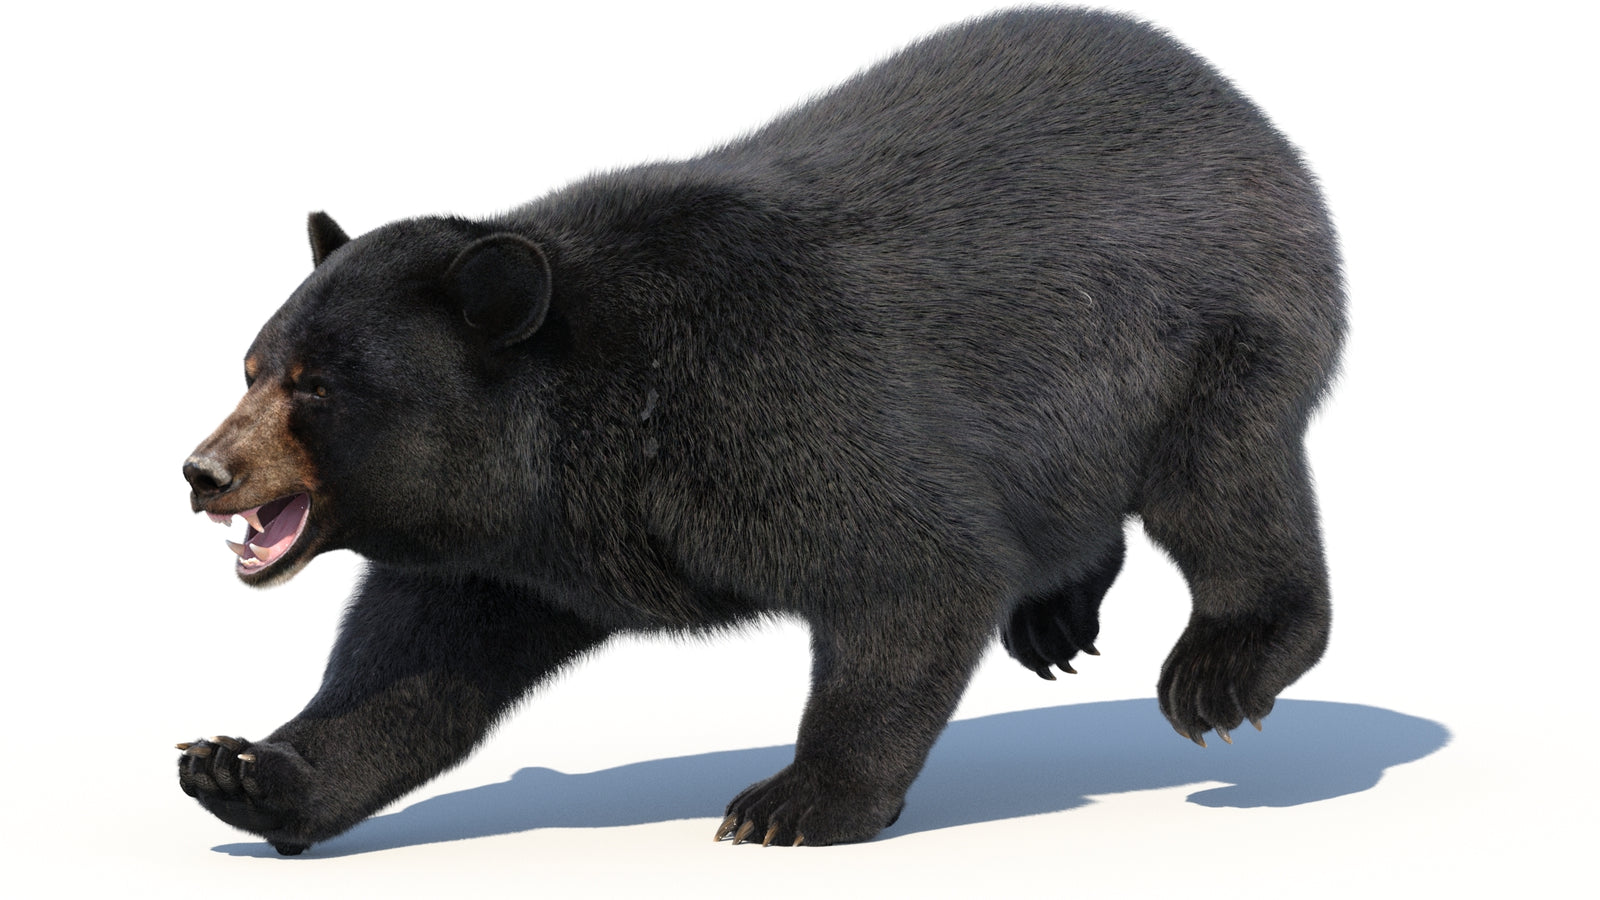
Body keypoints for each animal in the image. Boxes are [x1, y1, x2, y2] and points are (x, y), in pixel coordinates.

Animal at [177, 7, 1343, 856]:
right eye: (251, 367)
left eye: (317, 387)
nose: (203, 470)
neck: (581, 432)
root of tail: (1241, 107)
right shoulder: (512, 551)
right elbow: (409, 666)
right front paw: (241, 770)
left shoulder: (770, 405)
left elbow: (915, 570)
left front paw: (795, 801)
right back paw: (1054, 615)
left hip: (1212, 333)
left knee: (1225, 487)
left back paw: (1222, 668)